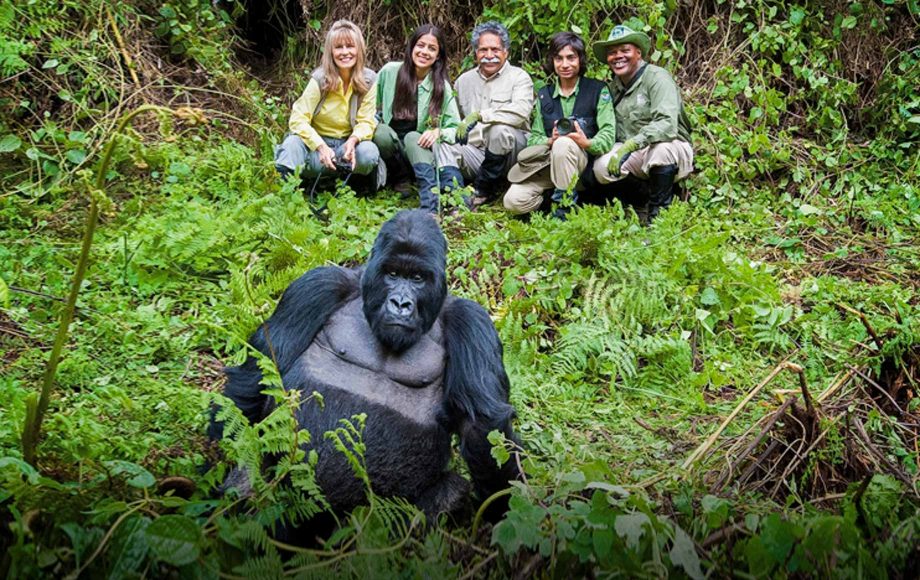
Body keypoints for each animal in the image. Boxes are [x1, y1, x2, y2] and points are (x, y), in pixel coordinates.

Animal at [211, 211, 520, 520]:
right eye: (393, 274)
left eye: (417, 278)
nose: (400, 303)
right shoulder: (317, 285)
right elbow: (260, 369)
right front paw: (221, 461)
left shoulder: (471, 321)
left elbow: (482, 426)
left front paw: (501, 508)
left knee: (450, 491)